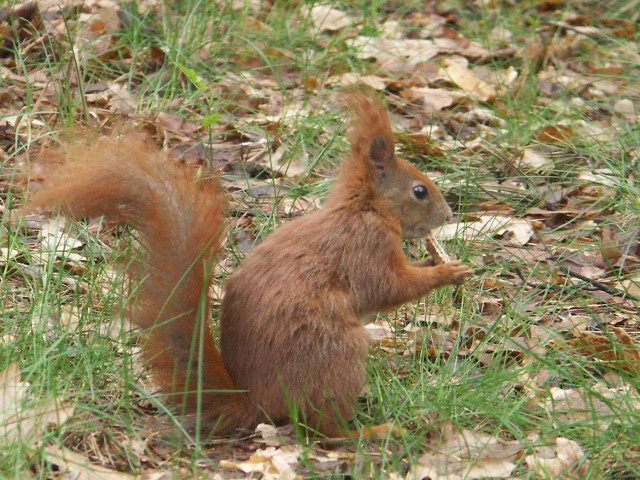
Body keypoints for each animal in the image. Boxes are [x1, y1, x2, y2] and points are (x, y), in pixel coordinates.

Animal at [28, 92, 470, 436]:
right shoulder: (366, 246)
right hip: (337, 353)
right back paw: (371, 431)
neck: (366, 208)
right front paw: (448, 271)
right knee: (320, 430)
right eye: (419, 191)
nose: (448, 215)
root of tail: (256, 403)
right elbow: (389, 288)